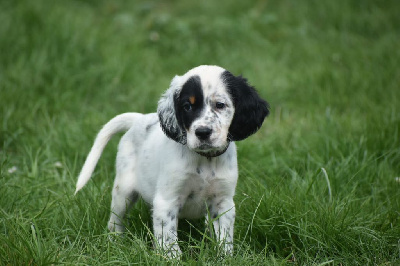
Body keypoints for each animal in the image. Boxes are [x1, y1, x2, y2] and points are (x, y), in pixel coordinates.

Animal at [75, 65, 268, 258]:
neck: (204, 159)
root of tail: (140, 119)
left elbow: (224, 236)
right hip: (123, 191)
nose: (202, 132)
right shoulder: (167, 199)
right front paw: (171, 257)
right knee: (115, 220)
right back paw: (115, 242)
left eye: (220, 105)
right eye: (187, 106)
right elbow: (168, 236)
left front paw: (223, 257)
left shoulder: (223, 201)